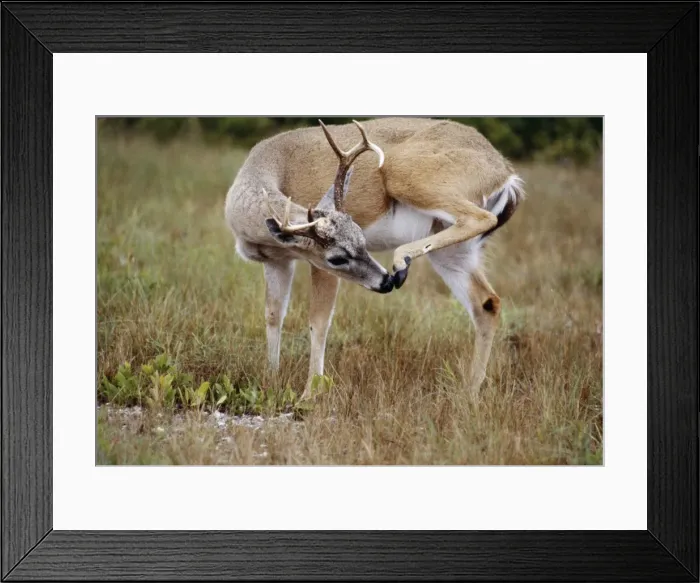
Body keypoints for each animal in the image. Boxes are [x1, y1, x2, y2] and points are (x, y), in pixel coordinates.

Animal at [224, 117, 525, 400]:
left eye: (361, 238)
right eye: (338, 257)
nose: (385, 282)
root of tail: (505, 173)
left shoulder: (316, 264)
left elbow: (318, 322)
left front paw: (309, 393)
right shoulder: (277, 261)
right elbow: (273, 315)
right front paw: (271, 379)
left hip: (404, 172)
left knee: (479, 219)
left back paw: (401, 261)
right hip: (453, 249)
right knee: (487, 303)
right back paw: (469, 392)